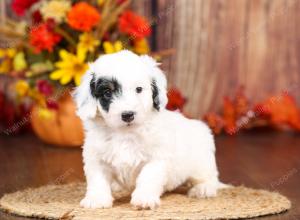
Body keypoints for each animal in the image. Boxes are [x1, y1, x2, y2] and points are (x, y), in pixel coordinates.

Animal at [73, 50, 223, 210]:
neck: (125, 133)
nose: (128, 115)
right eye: (107, 92)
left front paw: (144, 199)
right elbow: (97, 179)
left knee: (209, 177)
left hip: (201, 162)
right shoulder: (96, 157)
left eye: (139, 89)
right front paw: (96, 199)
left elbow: (148, 177)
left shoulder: (156, 157)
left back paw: (203, 188)